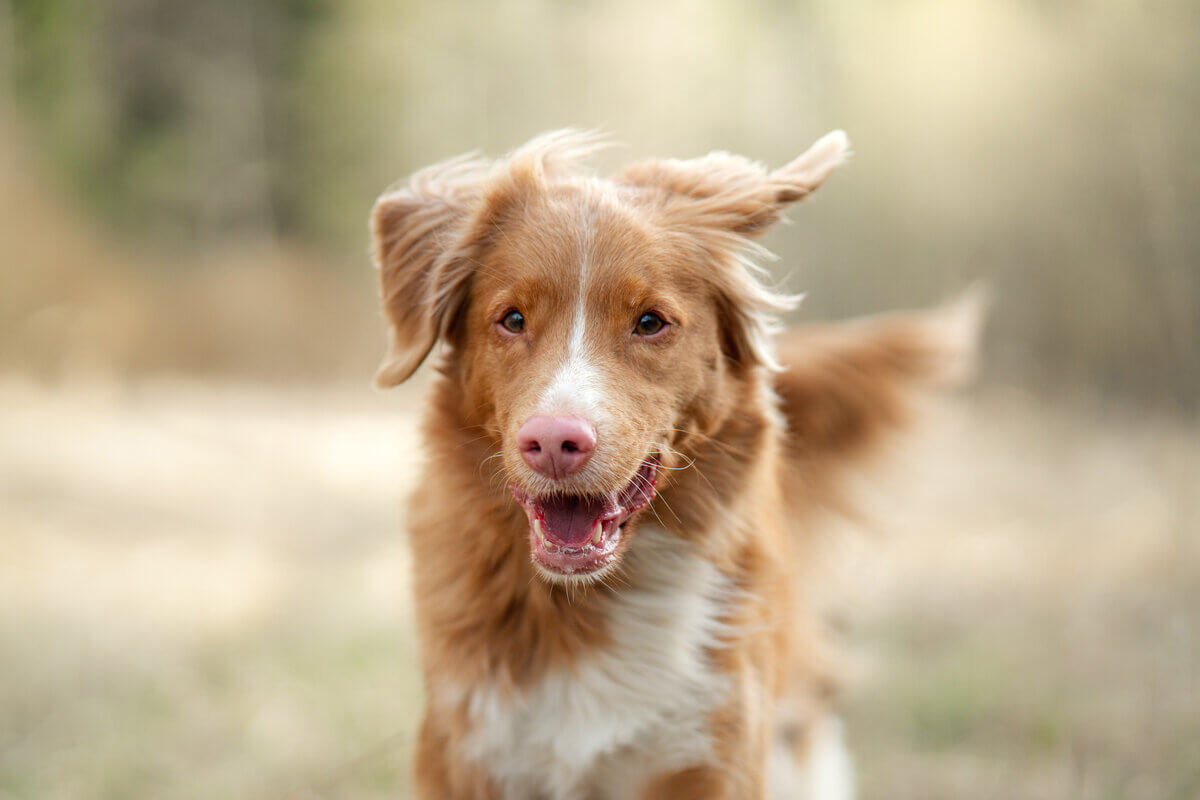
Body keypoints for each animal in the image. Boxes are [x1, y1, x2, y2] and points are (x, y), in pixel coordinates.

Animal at [369, 128, 979, 796]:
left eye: (649, 322)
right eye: (511, 319)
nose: (553, 442)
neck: (587, 599)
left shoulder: (715, 751)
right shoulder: (469, 751)